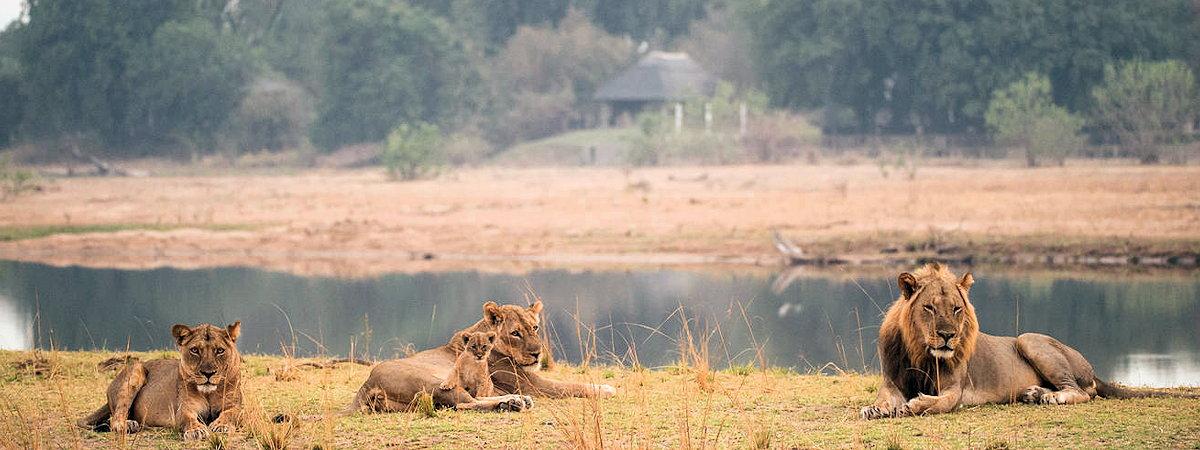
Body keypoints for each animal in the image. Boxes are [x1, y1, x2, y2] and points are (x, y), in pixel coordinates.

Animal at [78, 321, 243, 441]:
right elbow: (189, 419)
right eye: (195, 350)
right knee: (116, 417)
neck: (209, 393)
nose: (208, 373)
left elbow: (231, 414)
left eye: (220, 350)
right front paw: (196, 431)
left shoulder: (236, 406)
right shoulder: (184, 409)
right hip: (136, 368)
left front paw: (221, 426)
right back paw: (128, 425)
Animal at [350, 301, 614, 415]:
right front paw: (606, 389)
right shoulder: (532, 384)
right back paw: (513, 403)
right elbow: (572, 385)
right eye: (515, 333)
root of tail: (368, 383)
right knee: (465, 403)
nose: (537, 353)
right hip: (437, 381)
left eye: (535, 328)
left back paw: (514, 402)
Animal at [864, 264, 1190, 420]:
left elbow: (939, 403)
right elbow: (883, 399)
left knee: (1082, 392)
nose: (947, 336)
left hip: (1028, 340)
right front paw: (876, 409)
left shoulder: (956, 390)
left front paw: (915, 404)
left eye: (956, 309)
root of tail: (1092, 369)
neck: (920, 353)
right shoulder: (891, 382)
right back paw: (1034, 393)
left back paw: (1051, 397)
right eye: (929, 308)